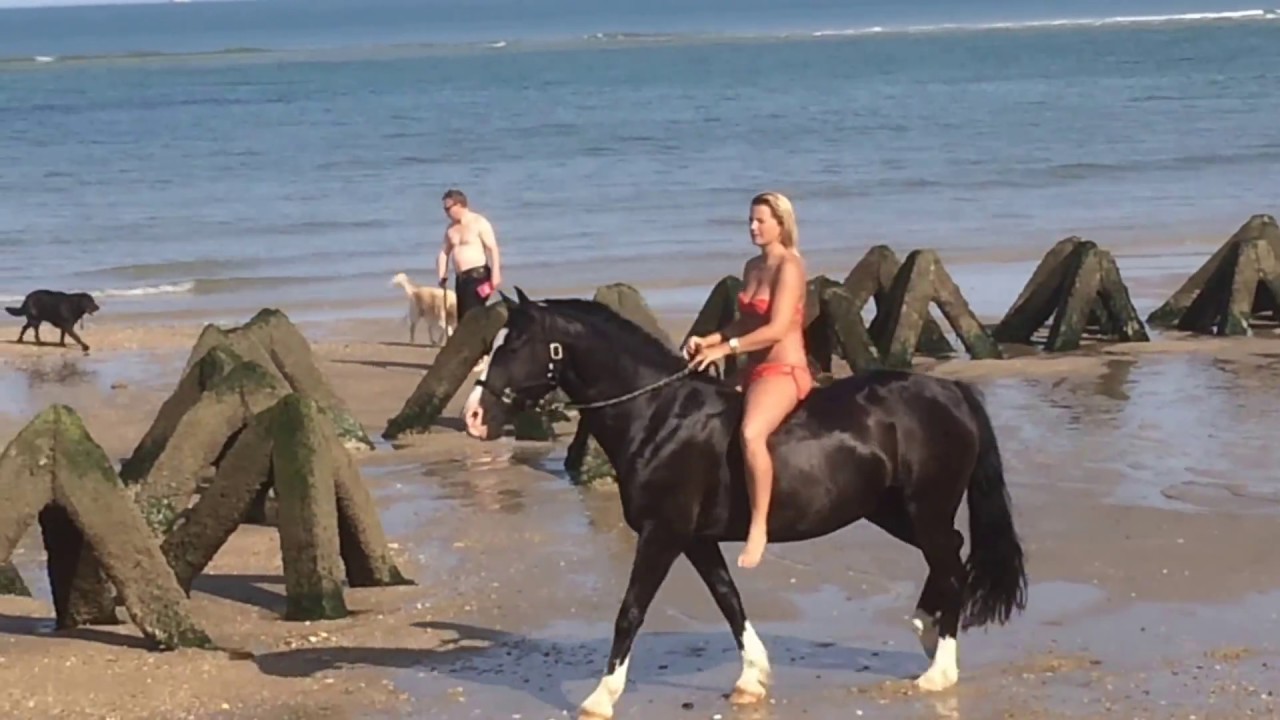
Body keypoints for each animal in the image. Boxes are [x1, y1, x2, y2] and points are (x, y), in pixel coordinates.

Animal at [461, 288, 1028, 720]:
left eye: (514, 345)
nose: (473, 416)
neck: (659, 416)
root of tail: (951, 392)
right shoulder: (696, 539)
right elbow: (728, 600)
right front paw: (752, 678)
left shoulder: (663, 534)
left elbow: (631, 612)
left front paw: (601, 698)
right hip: (892, 511)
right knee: (953, 550)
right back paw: (925, 628)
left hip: (922, 509)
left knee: (950, 562)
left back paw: (939, 670)